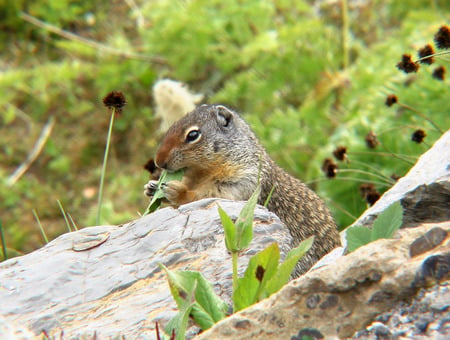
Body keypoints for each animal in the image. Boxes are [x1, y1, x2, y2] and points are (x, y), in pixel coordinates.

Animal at [145, 104, 342, 276]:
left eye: (193, 134)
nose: (158, 161)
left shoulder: (244, 180)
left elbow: (209, 195)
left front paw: (175, 190)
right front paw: (152, 187)